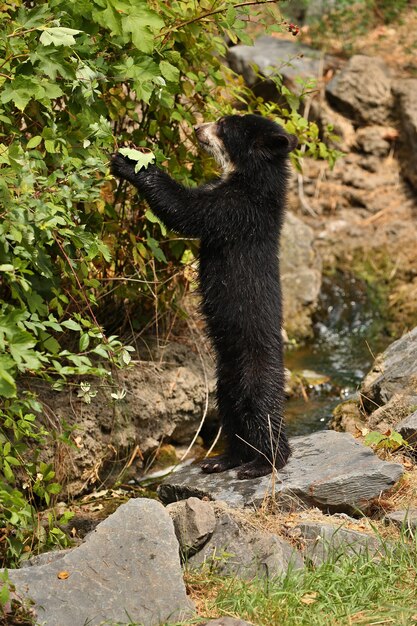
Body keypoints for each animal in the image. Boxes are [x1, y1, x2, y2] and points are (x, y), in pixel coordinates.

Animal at [111, 114, 296, 480]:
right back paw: (221, 460)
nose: (196, 128)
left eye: (224, 126)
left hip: (254, 370)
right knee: (232, 415)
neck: (251, 180)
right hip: (224, 380)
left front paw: (130, 162)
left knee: (263, 412)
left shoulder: (236, 211)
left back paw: (261, 464)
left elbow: (187, 211)